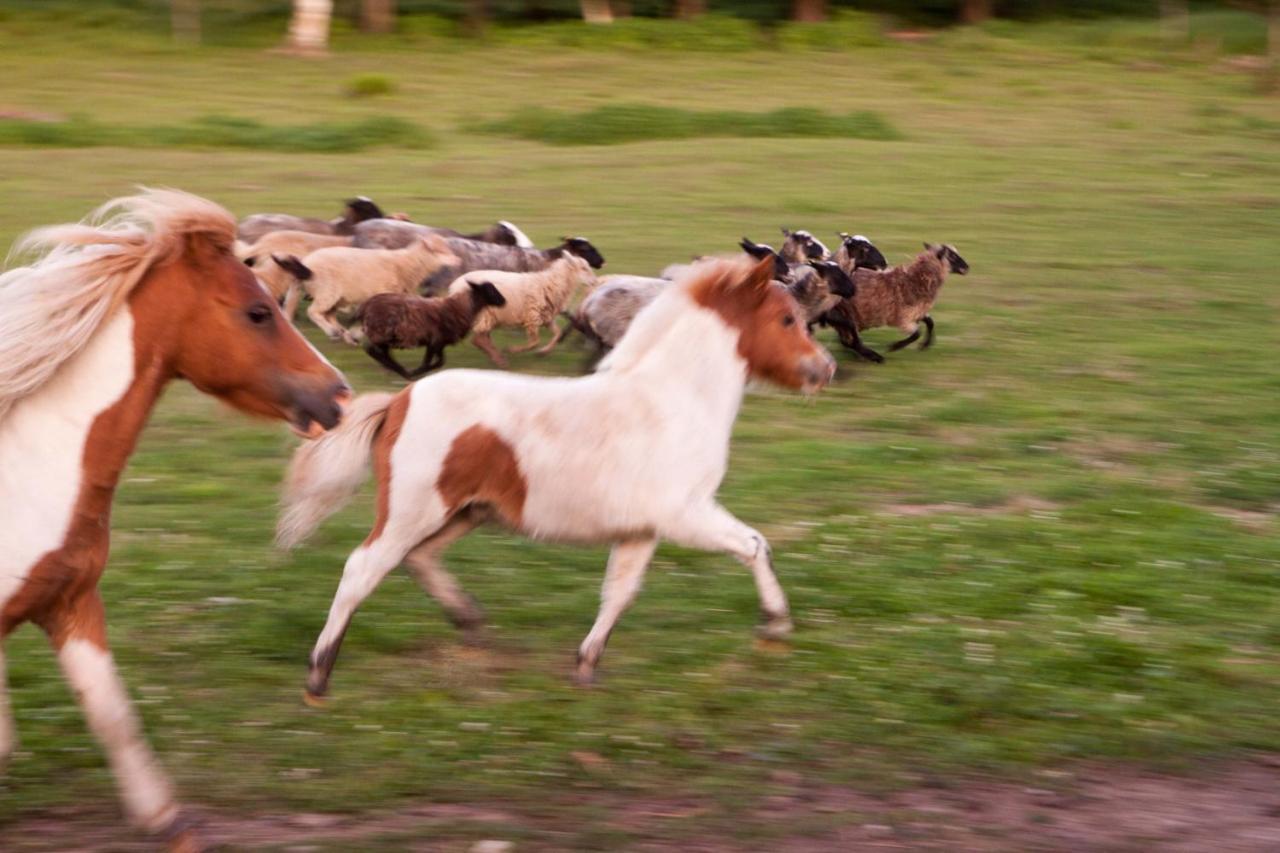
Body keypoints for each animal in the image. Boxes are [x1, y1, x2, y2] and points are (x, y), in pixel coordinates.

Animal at [0, 190, 350, 835]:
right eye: (258, 311)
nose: (338, 395)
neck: (31, 474)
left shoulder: (69, 604)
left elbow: (112, 718)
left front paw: (166, 821)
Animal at [360, 280, 509, 376]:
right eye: (490, 290)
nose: (504, 301)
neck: (460, 307)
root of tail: (366, 305)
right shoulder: (435, 341)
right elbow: (429, 362)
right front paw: (416, 372)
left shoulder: (438, 343)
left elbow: (440, 361)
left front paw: (420, 371)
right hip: (381, 333)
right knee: (371, 350)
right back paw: (401, 371)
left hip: (386, 336)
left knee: (381, 352)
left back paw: (397, 369)